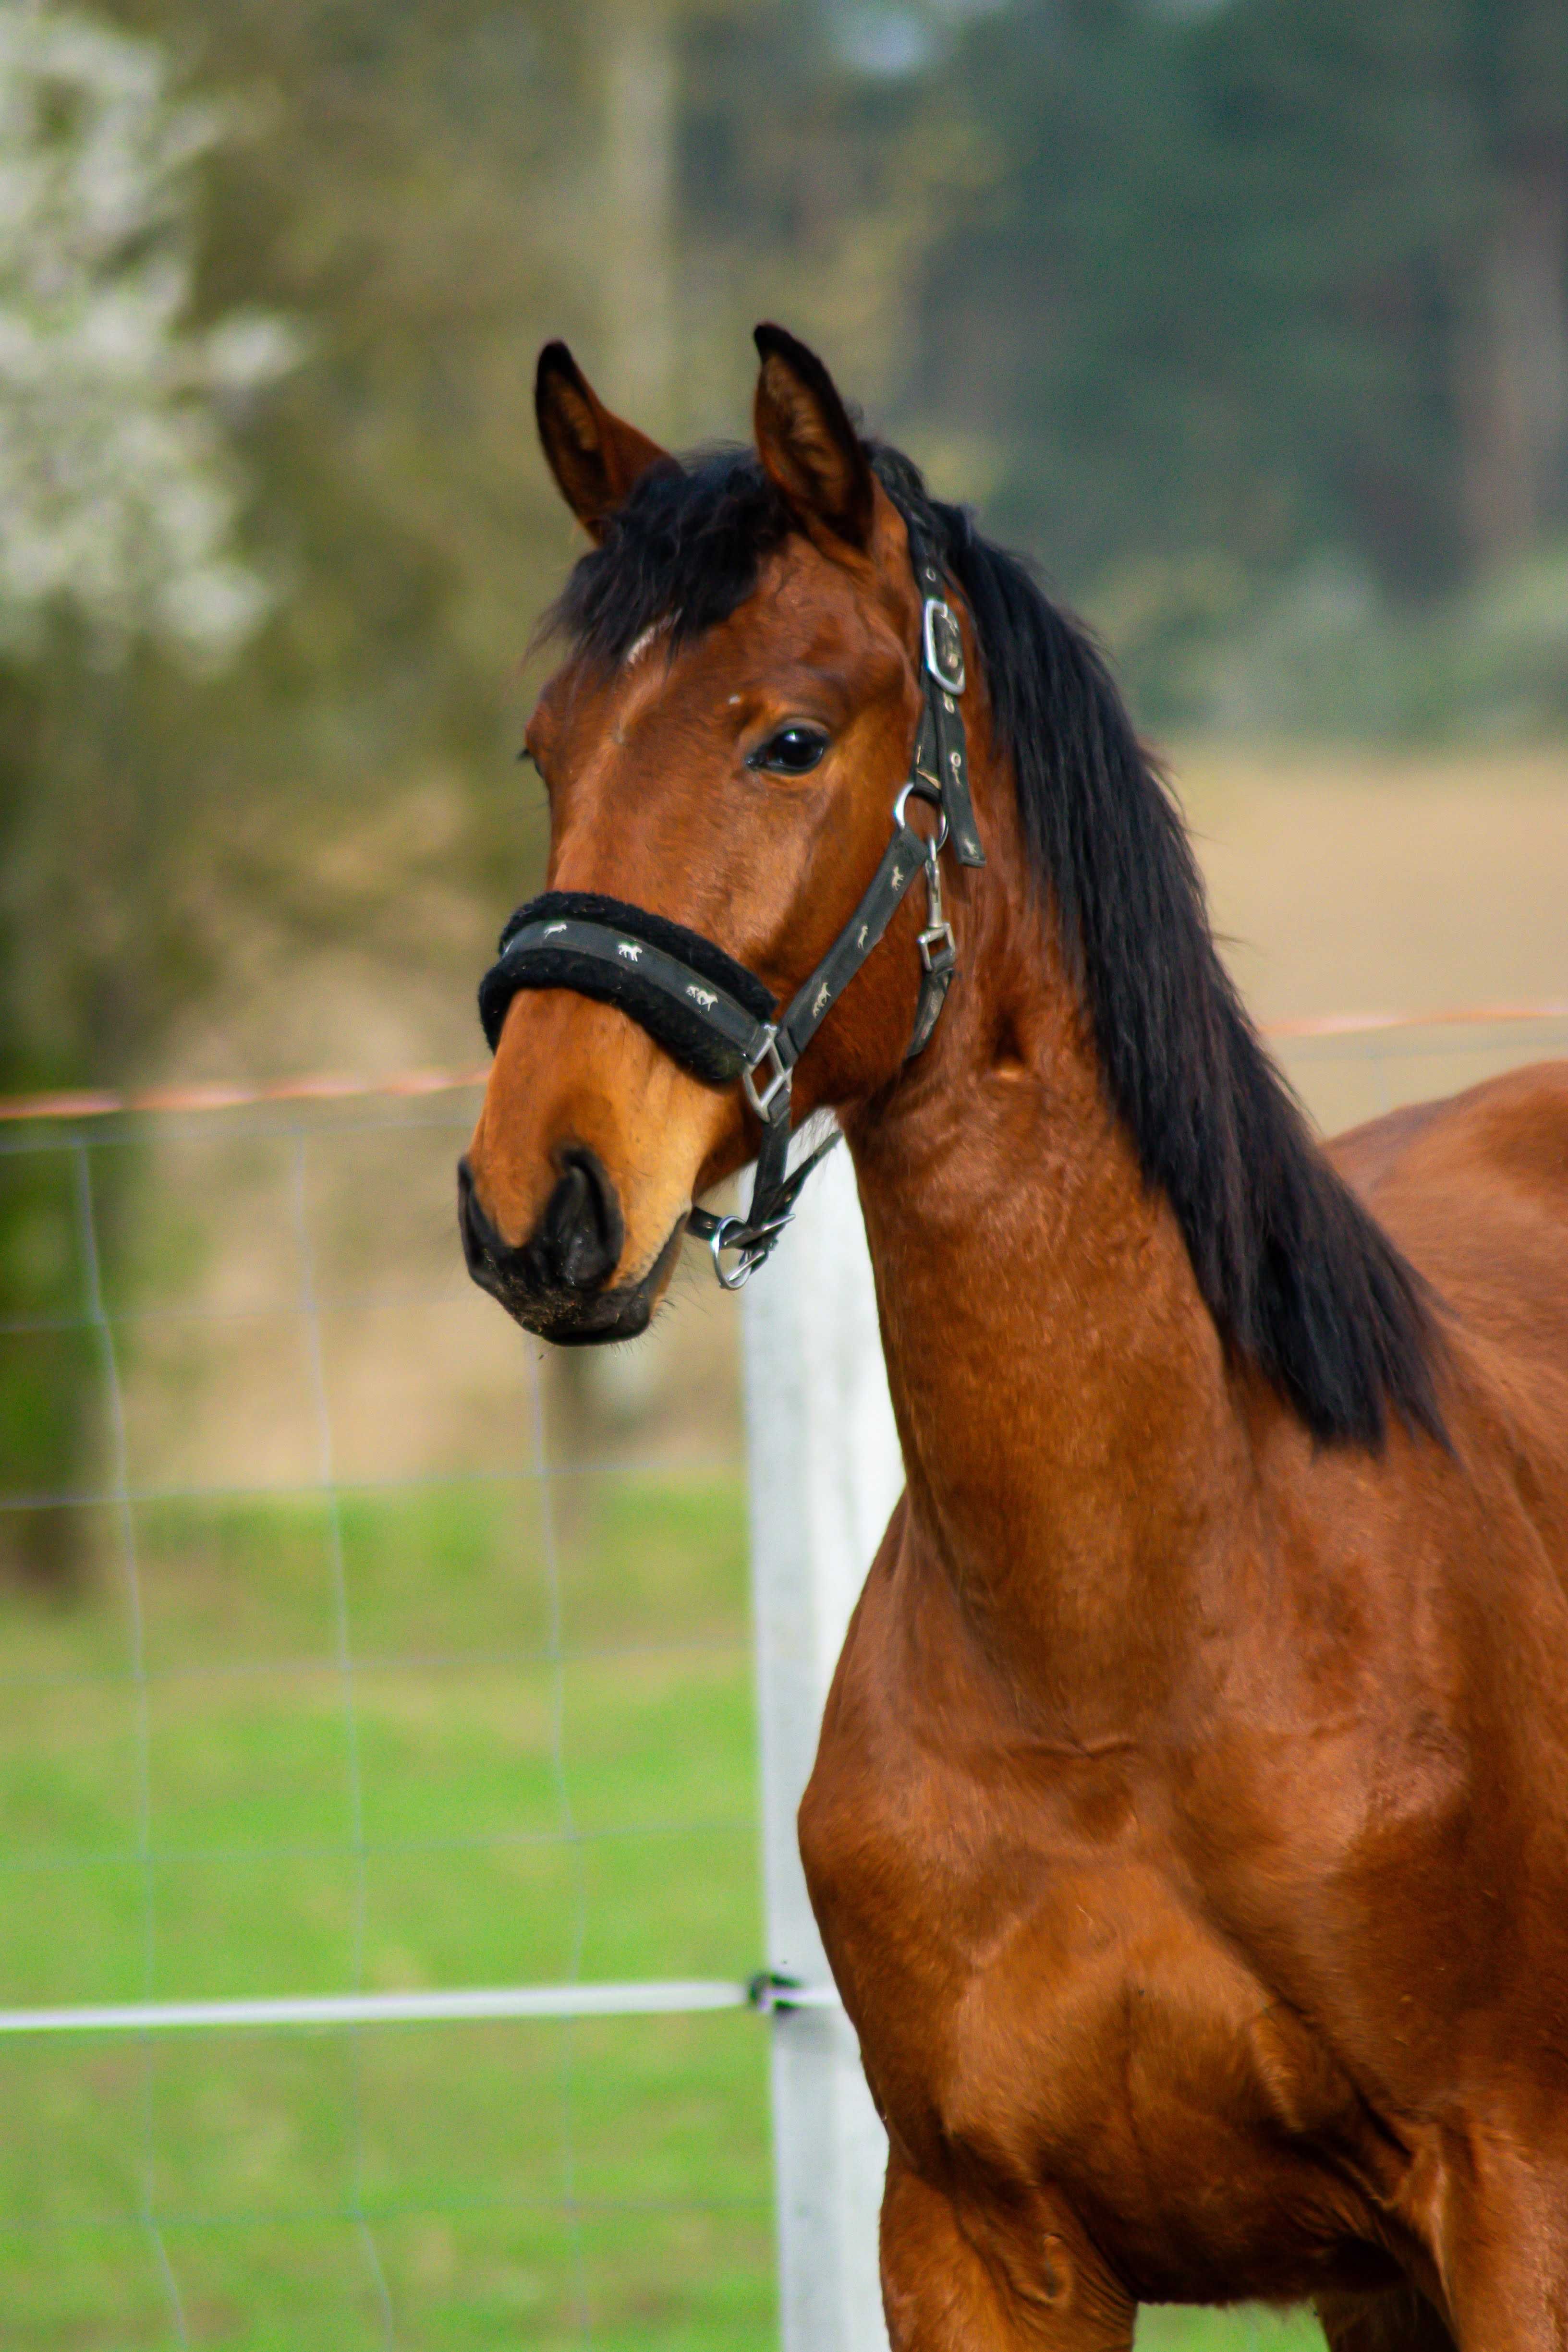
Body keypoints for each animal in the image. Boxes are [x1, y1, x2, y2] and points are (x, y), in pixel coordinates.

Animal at [461, 322, 1568, 2342]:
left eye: (789, 736)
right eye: (547, 748)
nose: (535, 1199)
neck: (1127, 1670)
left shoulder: (1514, 2196)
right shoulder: (977, 2240)